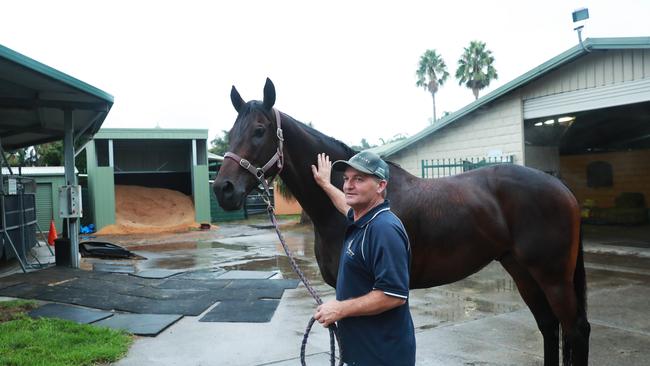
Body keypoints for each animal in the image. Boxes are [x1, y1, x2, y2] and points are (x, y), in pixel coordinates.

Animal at [213, 78, 588, 364]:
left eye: (259, 130)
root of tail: (561, 187)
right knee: (548, 326)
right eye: (230, 132)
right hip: (521, 270)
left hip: (552, 276)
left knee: (575, 329)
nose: (223, 189)